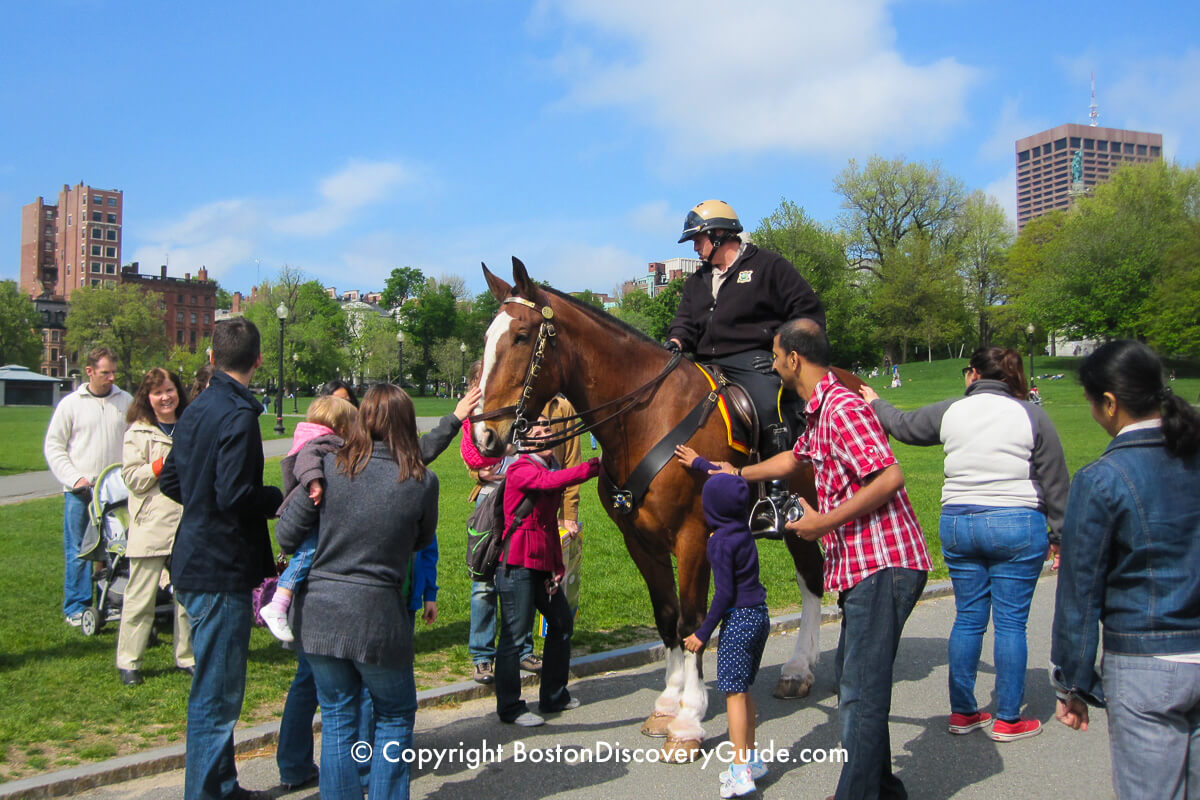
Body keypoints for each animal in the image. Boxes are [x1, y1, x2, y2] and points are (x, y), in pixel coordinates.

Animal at [472, 260, 859, 762]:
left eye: (521, 336)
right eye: (486, 337)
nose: (484, 436)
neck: (646, 417)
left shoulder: (694, 537)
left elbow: (693, 619)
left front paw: (690, 718)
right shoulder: (641, 543)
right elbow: (668, 617)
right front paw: (668, 702)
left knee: (826, 577)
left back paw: (803, 666)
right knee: (812, 577)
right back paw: (802, 666)